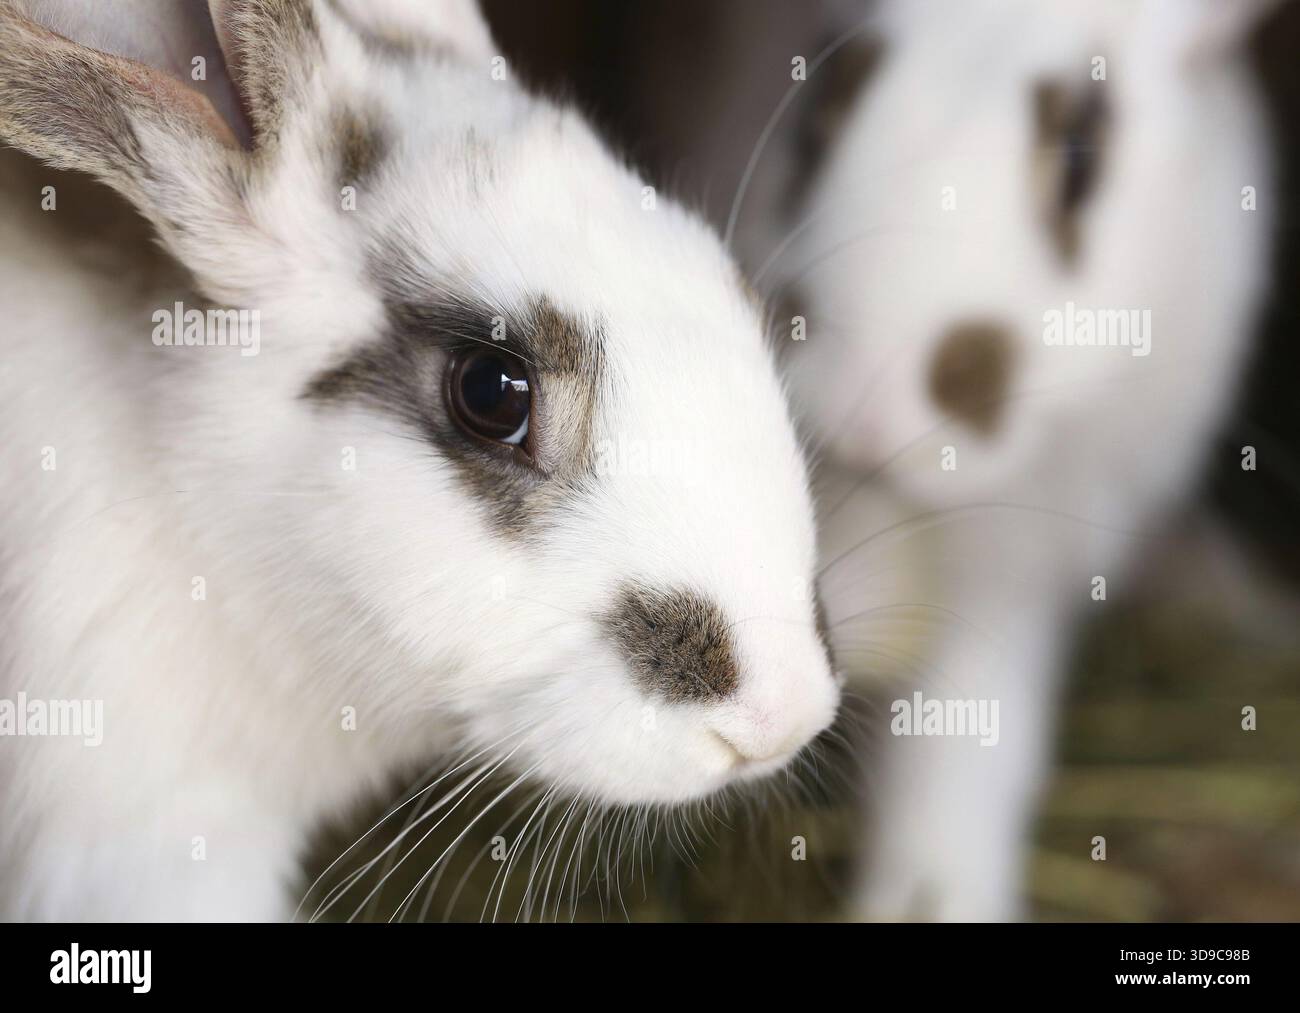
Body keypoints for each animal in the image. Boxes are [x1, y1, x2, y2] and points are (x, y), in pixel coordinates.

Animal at [750, 0, 1280, 919]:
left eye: (1082, 156)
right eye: (822, 93)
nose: (865, 415)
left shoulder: (1012, 568)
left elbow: (963, 734)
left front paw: (932, 901)